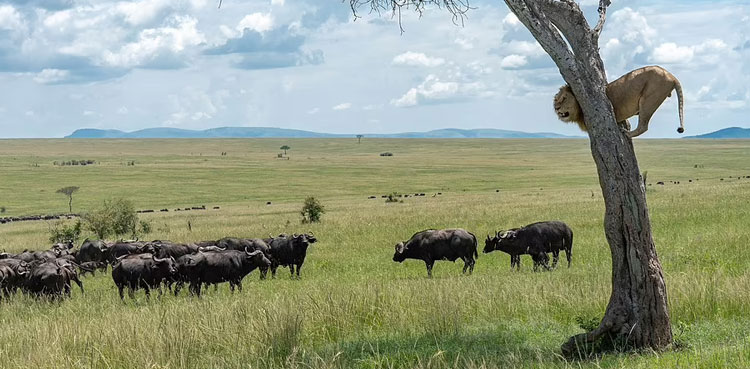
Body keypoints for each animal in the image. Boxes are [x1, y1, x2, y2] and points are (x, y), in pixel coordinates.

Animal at [552, 65, 688, 137]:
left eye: (564, 99)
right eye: (556, 100)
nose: (556, 108)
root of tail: (672, 76)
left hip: (648, 99)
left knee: (643, 127)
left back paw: (626, 133)